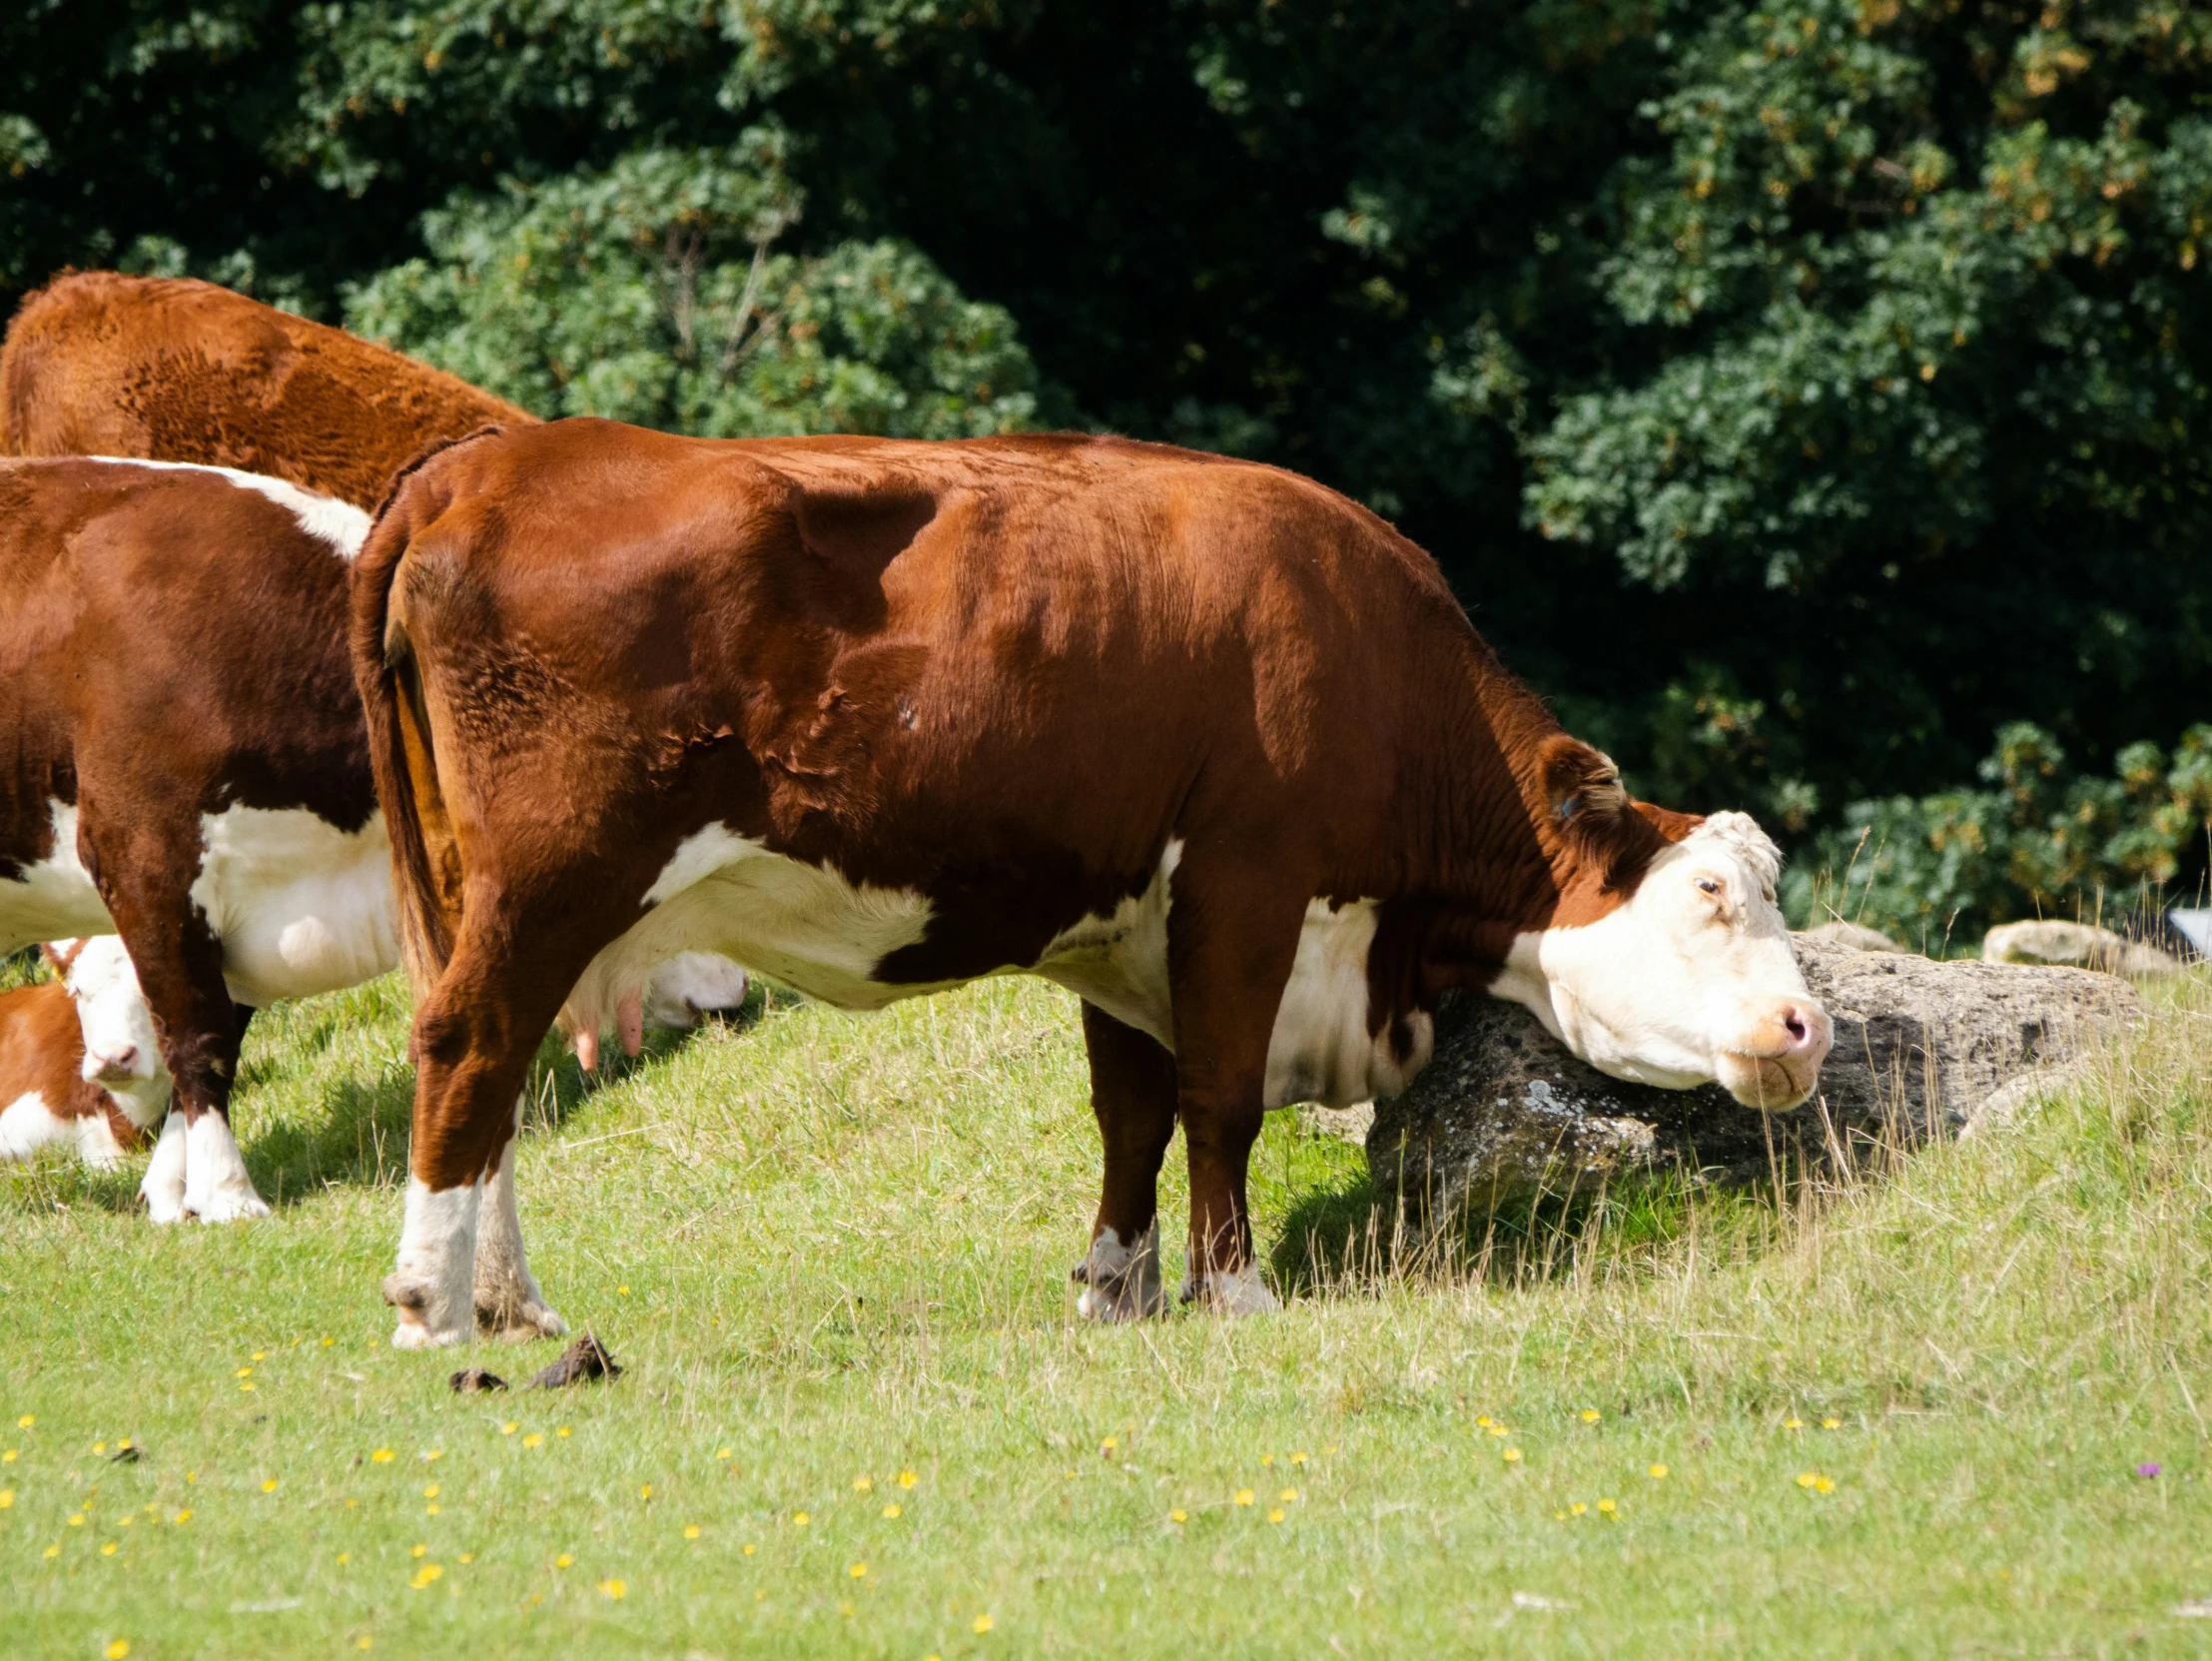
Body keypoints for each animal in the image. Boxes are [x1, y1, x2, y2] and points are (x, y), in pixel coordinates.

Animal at [349, 417, 1832, 1353]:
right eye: (1708, 891)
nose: (1805, 1026)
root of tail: (482, 461)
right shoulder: (1244, 877)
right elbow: (1216, 1100)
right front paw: (1232, 1290)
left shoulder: (1124, 919)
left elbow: (1130, 1112)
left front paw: (1117, 1288)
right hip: (554, 875)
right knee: (470, 1043)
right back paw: (433, 1302)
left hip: (479, 888)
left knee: (487, 1069)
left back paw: (512, 1300)